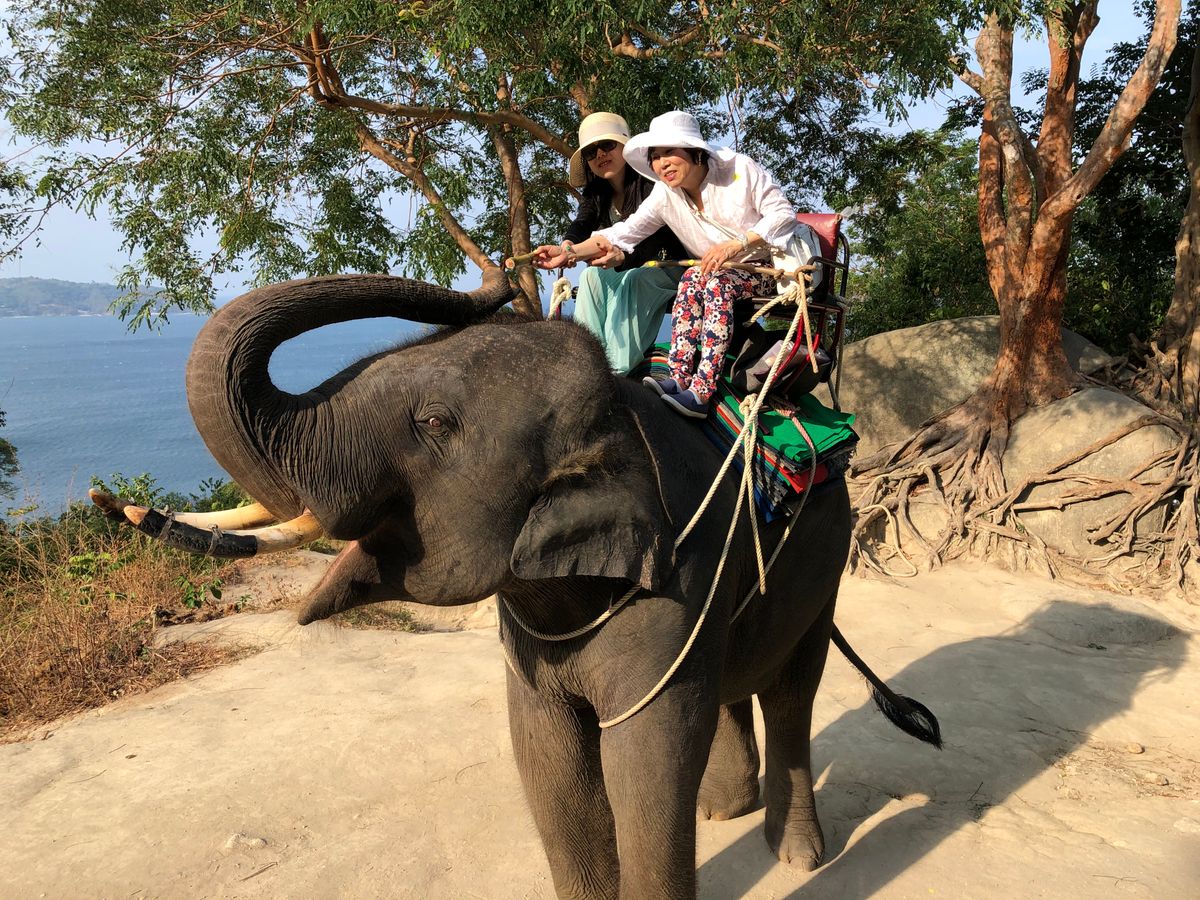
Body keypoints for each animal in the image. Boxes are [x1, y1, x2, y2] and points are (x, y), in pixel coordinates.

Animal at [95, 269, 940, 899]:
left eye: (434, 423)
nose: (501, 276)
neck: (621, 420)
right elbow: (549, 760)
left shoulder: (678, 576)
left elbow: (646, 757)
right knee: (735, 676)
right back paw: (723, 806)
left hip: (828, 551)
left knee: (792, 689)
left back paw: (796, 855)